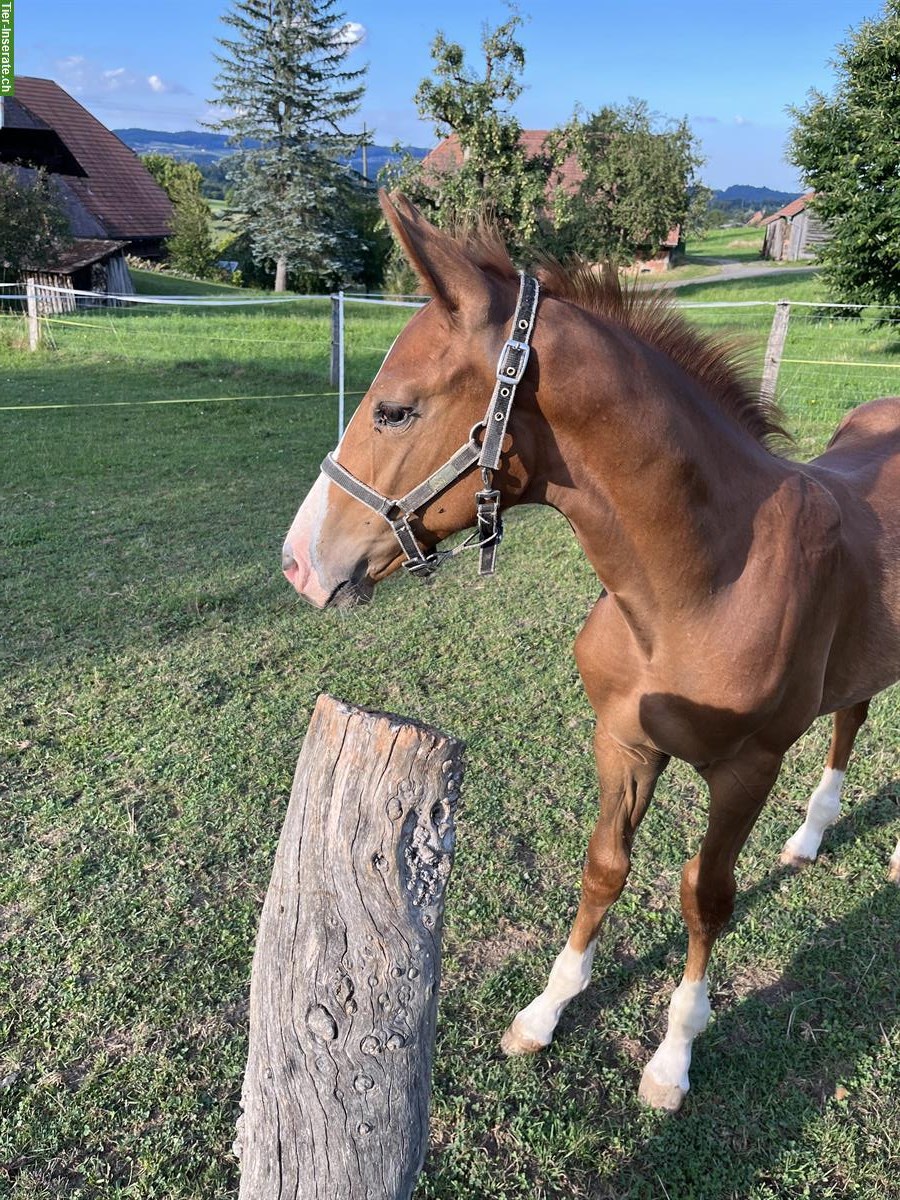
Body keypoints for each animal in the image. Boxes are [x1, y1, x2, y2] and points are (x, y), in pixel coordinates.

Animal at [283, 194, 900, 1104]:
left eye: (395, 408)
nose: (298, 563)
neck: (701, 586)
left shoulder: (748, 768)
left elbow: (705, 897)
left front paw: (673, 1059)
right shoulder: (625, 742)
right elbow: (605, 867)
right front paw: (544, 1013)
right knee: (852, 713)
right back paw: (811, 836)